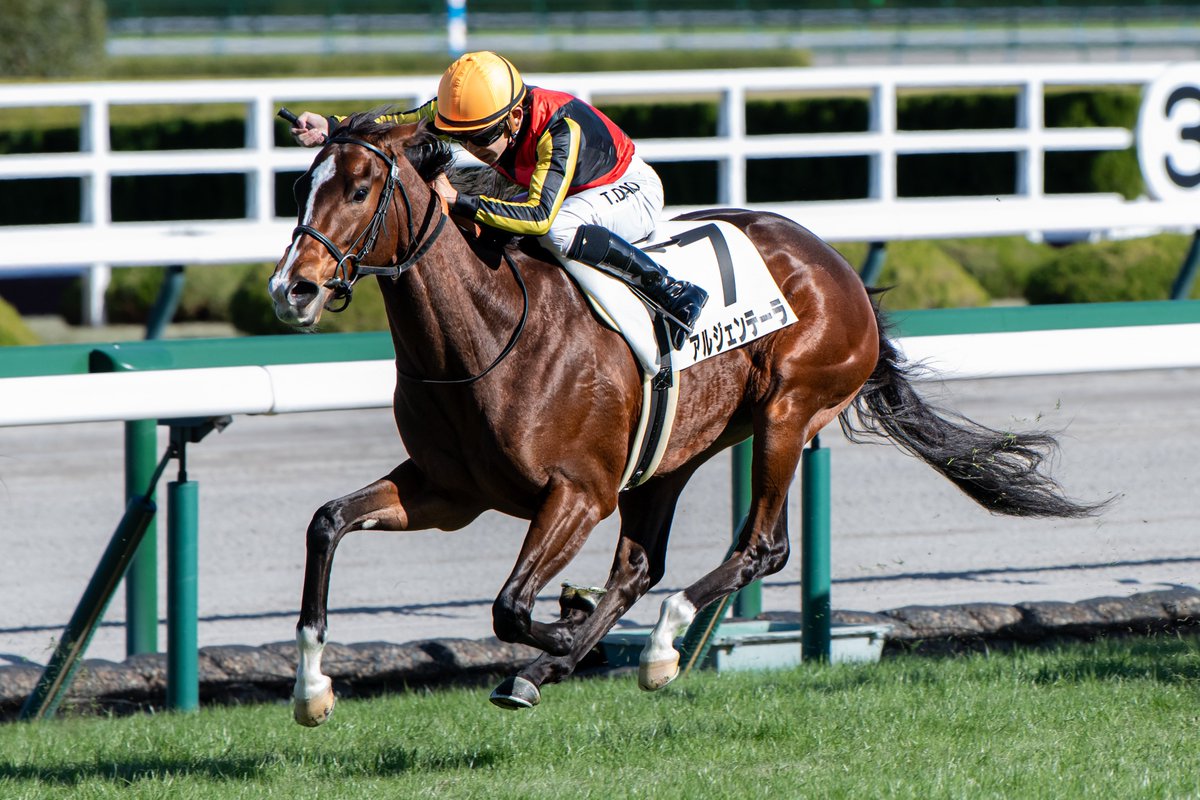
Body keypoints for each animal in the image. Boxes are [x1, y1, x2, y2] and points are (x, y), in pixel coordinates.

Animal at [269, 112, 1103, 725]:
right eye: (303, 186)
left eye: (359, 187)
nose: (292, 290)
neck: (489, 329)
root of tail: (836, 264)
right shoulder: (449, 492)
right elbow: (325, 521)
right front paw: (312, 691)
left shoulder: (578, 493)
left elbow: (511, 605)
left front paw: (568, 629)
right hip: (672, 454)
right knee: (641, 566)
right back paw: (561, 661)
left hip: (789, 412)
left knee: (760, 547)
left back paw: (658, 647)